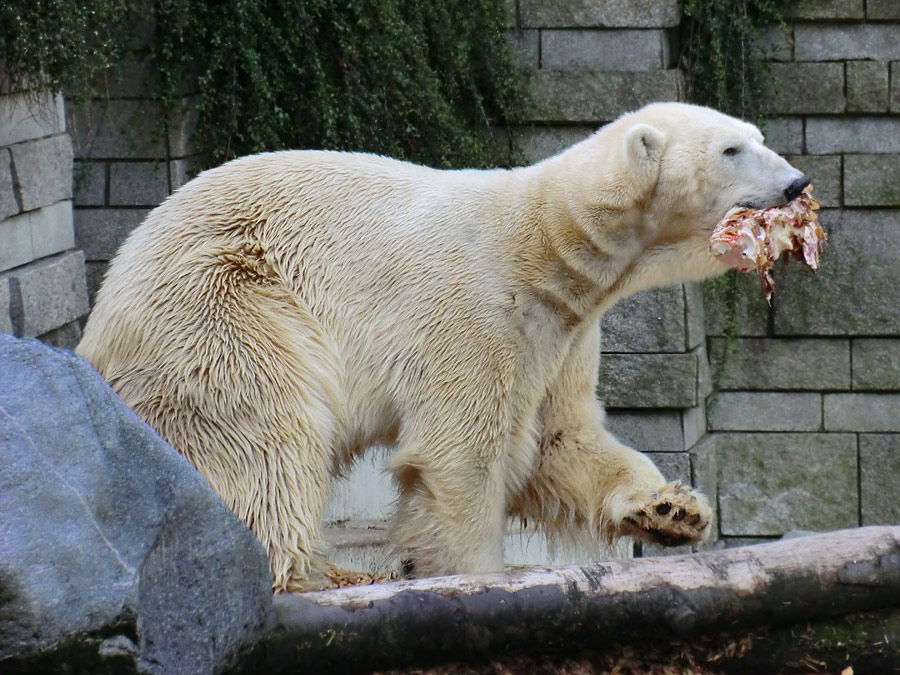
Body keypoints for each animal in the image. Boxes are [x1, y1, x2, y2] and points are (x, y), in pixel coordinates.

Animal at [77, 100, 808, 592]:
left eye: (759, 138)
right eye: (731, 150)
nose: (798, 182)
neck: (547, 242)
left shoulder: (562, 333)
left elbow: (559, 439)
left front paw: (671, 508)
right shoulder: (474, 313)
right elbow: (462, 458)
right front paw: (473, 574)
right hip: (223, 299)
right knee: (259, 433)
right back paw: (317, 574)